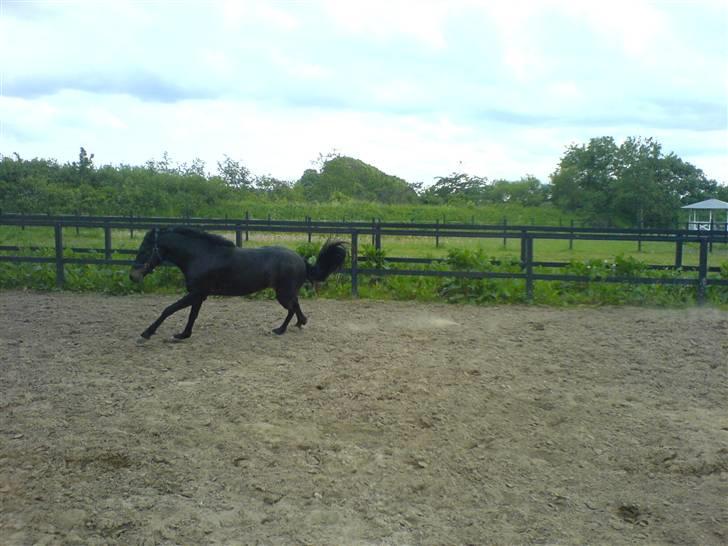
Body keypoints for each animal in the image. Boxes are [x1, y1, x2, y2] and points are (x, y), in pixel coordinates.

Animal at [129, 227, 346, 339]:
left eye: (146, 248)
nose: (133, 276)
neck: (201, 256)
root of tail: (301, 259)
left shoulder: (195, 293)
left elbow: (169, 309)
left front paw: (147, 332)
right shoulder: (199, 295)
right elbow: (192, 315)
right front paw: (184, 334)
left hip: (282, 294)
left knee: (292, 308)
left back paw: (280, 330)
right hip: (286, 291)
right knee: (296, 305)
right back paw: (300, 323)